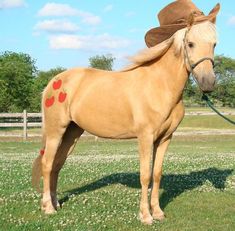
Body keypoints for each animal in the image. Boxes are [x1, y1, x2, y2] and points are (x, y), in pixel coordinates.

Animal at [31, 20, 217, 225]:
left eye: (214, 44)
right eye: (190, 44)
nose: (208, 82)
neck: (160, 85)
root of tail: (54, 82)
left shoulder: (165, 138)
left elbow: (157, 174)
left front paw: (158, 212)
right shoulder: (145, 137)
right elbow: (145, 175)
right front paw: (145, 216)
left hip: (71, 133)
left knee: (57, 165)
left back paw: (55, 204)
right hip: (56, 131)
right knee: (48, 164)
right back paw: (48, 208)